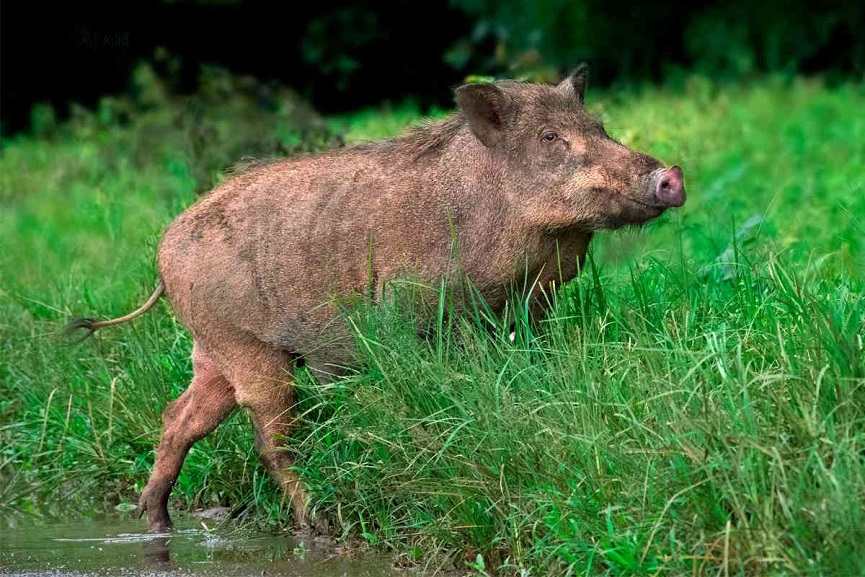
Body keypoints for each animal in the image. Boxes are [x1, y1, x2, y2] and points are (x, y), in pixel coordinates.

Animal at [68, 64, 685, 533]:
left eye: (599, 125)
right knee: (271, 441)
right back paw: (318, 526)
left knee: (178, 419)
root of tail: (163, 255)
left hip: (214, 353)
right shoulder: (414, 312)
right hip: (248, 349)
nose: (672, 175)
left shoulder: (526, 312)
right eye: (549, 138)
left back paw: (156, 523)